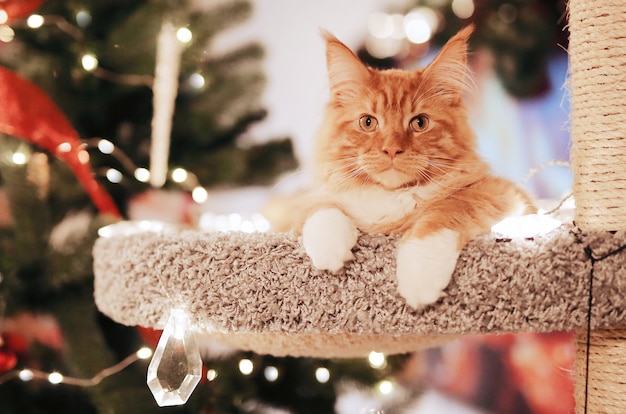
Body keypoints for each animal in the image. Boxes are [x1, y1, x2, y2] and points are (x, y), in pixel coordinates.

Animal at [278, 25, 532, 308]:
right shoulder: (306, 206)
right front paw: (330, 250)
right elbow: (320, 208)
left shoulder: (503, 193)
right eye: (368, 122)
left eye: (419, 123)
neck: (391, 198)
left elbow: (444, 213)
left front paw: (419, 278)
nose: (391, 149)